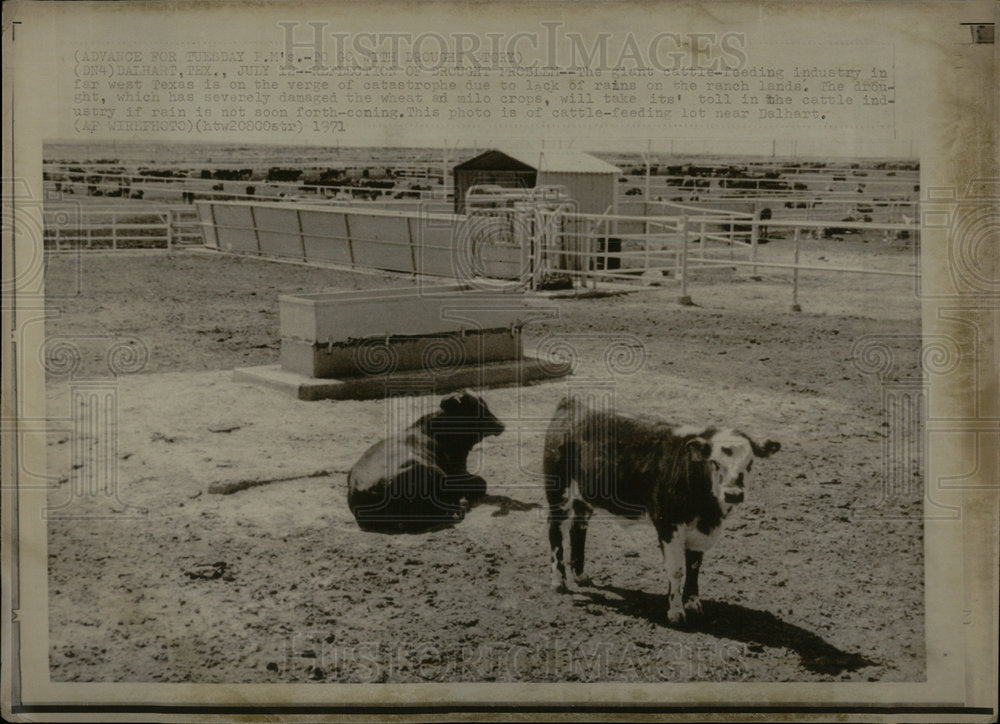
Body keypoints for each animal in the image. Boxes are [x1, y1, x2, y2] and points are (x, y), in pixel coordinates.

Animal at [540, 396, 780, 624]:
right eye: (714, 462)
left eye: (750, 463)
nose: (733, 494)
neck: (708, 512)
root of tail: (574, 403)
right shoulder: (668, 522)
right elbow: (676, 569)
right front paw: (676, 612)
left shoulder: (699, 532)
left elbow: (694, 566)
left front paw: (693, 604)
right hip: (559, 490)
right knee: (556, 530)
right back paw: (558, 581)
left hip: (585, 495)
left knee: (578, 528)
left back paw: (580, 575)